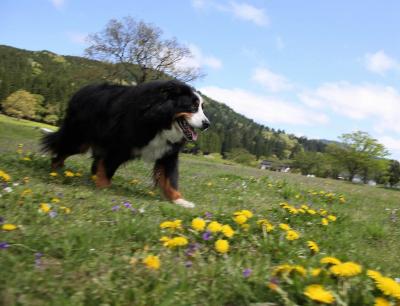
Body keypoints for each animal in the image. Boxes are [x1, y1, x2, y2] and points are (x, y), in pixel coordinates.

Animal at [41, 79, 209, 208]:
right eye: (192, 107)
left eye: (201, 108)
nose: (207, 124)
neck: (160, 121)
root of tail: (81, 91)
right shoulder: (118, 144)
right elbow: (107, 167)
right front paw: (104, 187)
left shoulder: (168, 152)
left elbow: (170, 178)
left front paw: (180, 200)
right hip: (79, 137)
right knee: (62, 150)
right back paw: (55, 170)